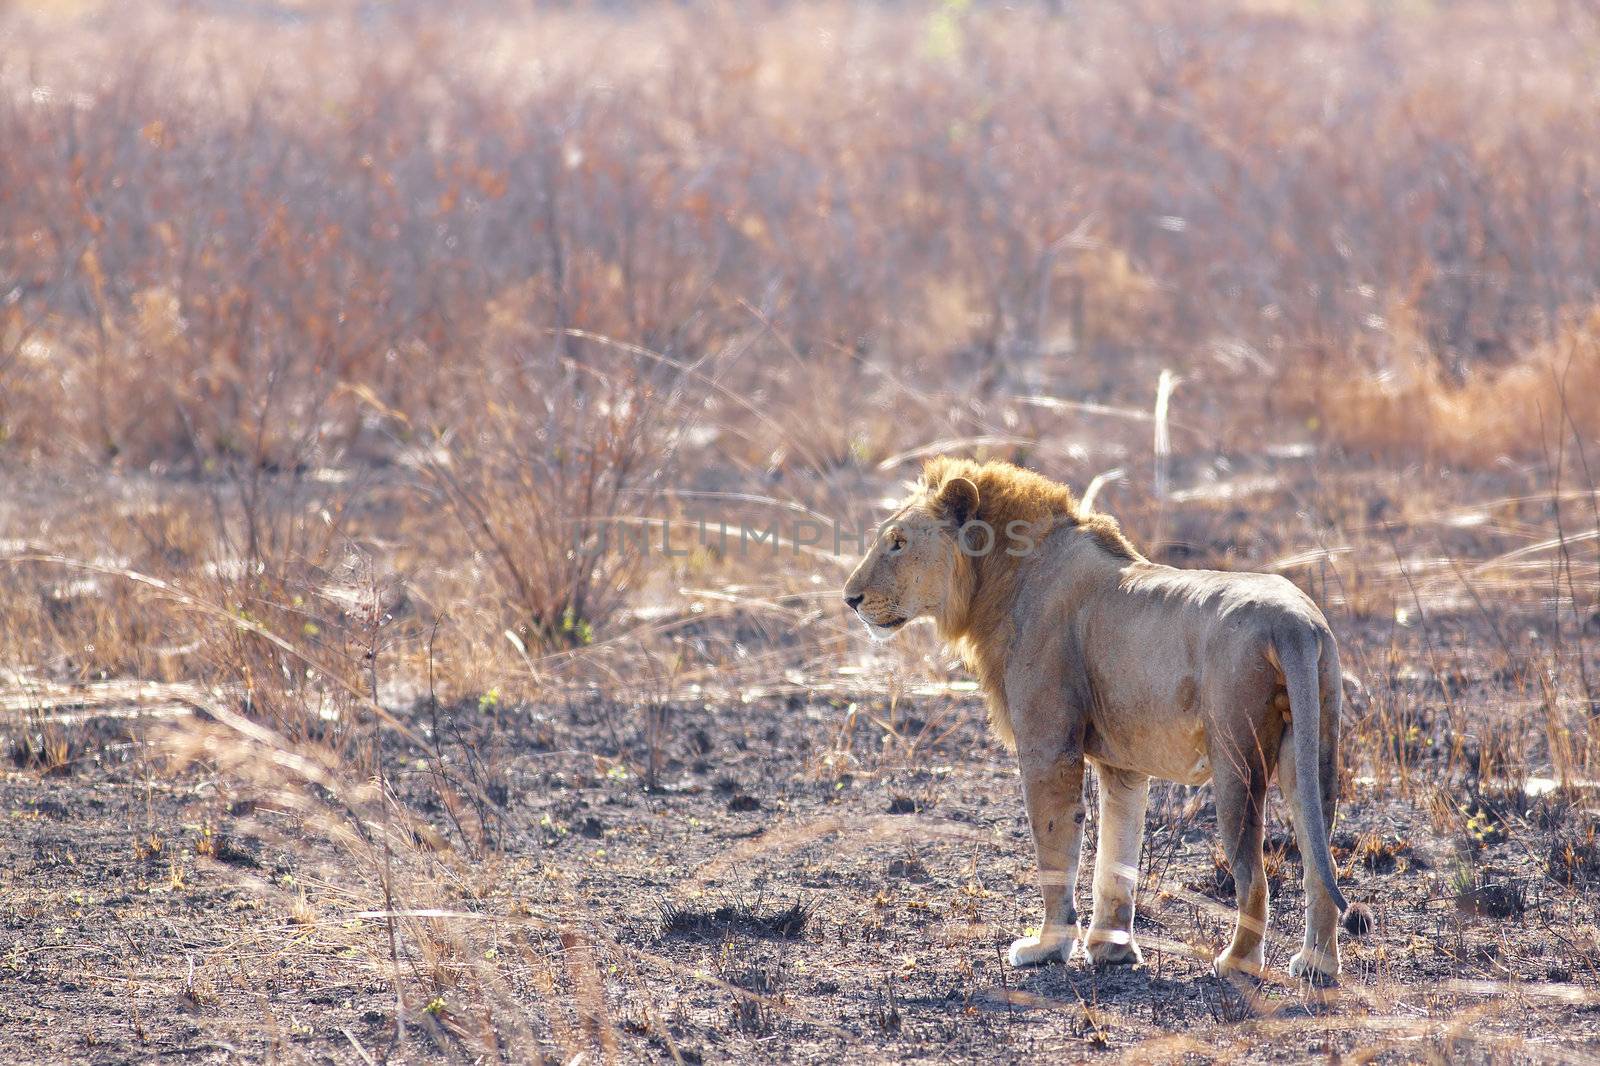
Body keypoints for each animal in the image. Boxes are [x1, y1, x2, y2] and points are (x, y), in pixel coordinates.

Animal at [844, 457, 1356, 979]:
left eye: (898, 542)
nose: (850, 598)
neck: (999, 578)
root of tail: (1294, 623)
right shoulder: (1122, 764)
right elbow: (1116, 858)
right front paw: (1112, 948)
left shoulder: (1048, 745)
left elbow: (1055, 850)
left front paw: (1048, 947)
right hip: (1315, 748)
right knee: (1321, 863)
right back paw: (1317, 964)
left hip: (1236, 757)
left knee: (1253, 874)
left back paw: (1237, 963)